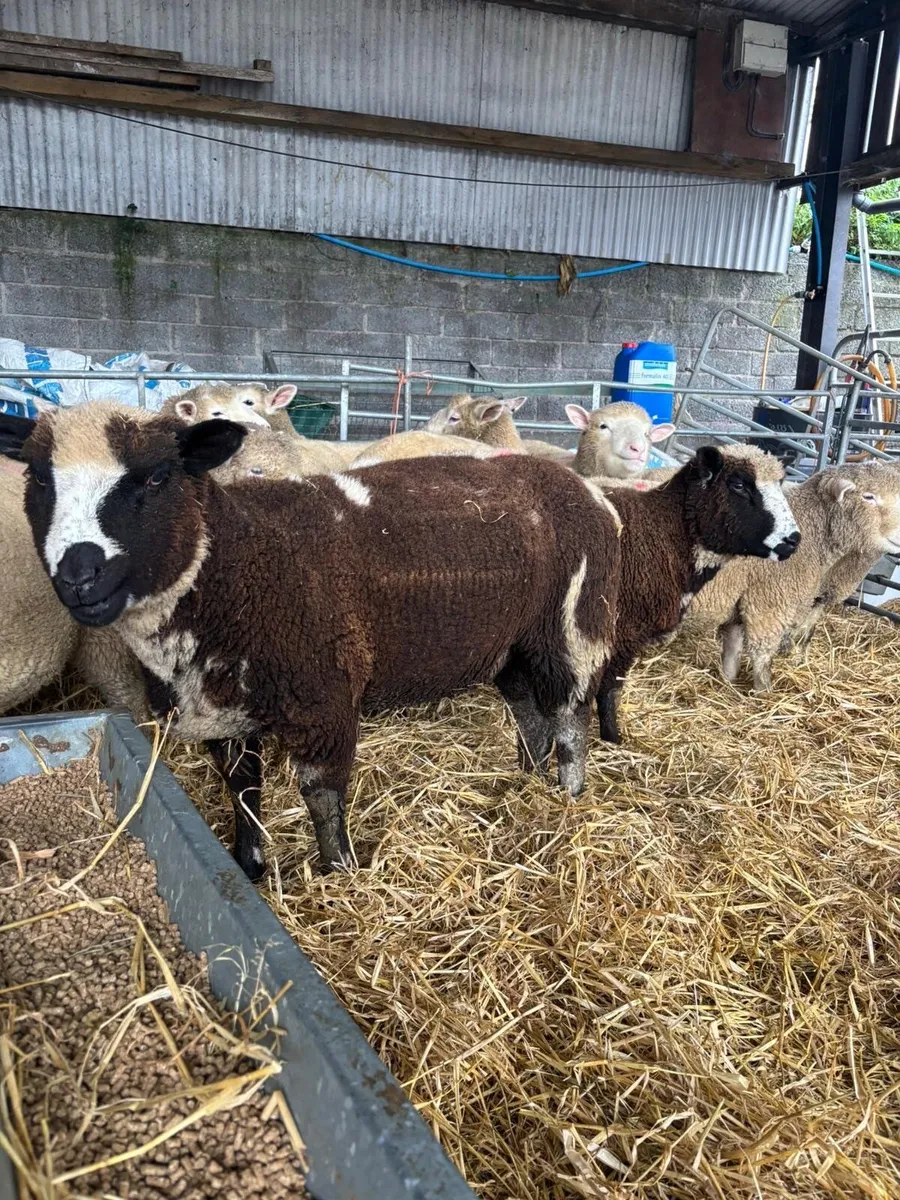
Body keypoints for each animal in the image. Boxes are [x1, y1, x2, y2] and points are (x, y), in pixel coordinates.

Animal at [0, 403, 628, 880]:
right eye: (38, 478)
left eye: (156, 477)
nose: (78, 577)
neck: (237, 562)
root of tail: (587, 490)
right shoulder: (226, 714)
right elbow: (242, 792)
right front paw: (250, 866)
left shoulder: (322, 701)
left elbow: (321, 798)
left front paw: (341, 875)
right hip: (510, 641)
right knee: (528, 711)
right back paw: (526, 782)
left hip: (572, 626)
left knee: (569, 717)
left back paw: (568, 797)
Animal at [592, 444, 800, 744]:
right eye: (738, 485)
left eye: (781, 483)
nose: (793, 540)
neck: (664, 531)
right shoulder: (622, 630)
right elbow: (609, 689)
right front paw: (612, 739)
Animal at [680, 460, 900, 692]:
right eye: (868, 497)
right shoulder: (771, 601)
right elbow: (763, 655)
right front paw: (765, 691)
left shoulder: (746, 596)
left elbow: (734, 645)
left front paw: (729, 681)